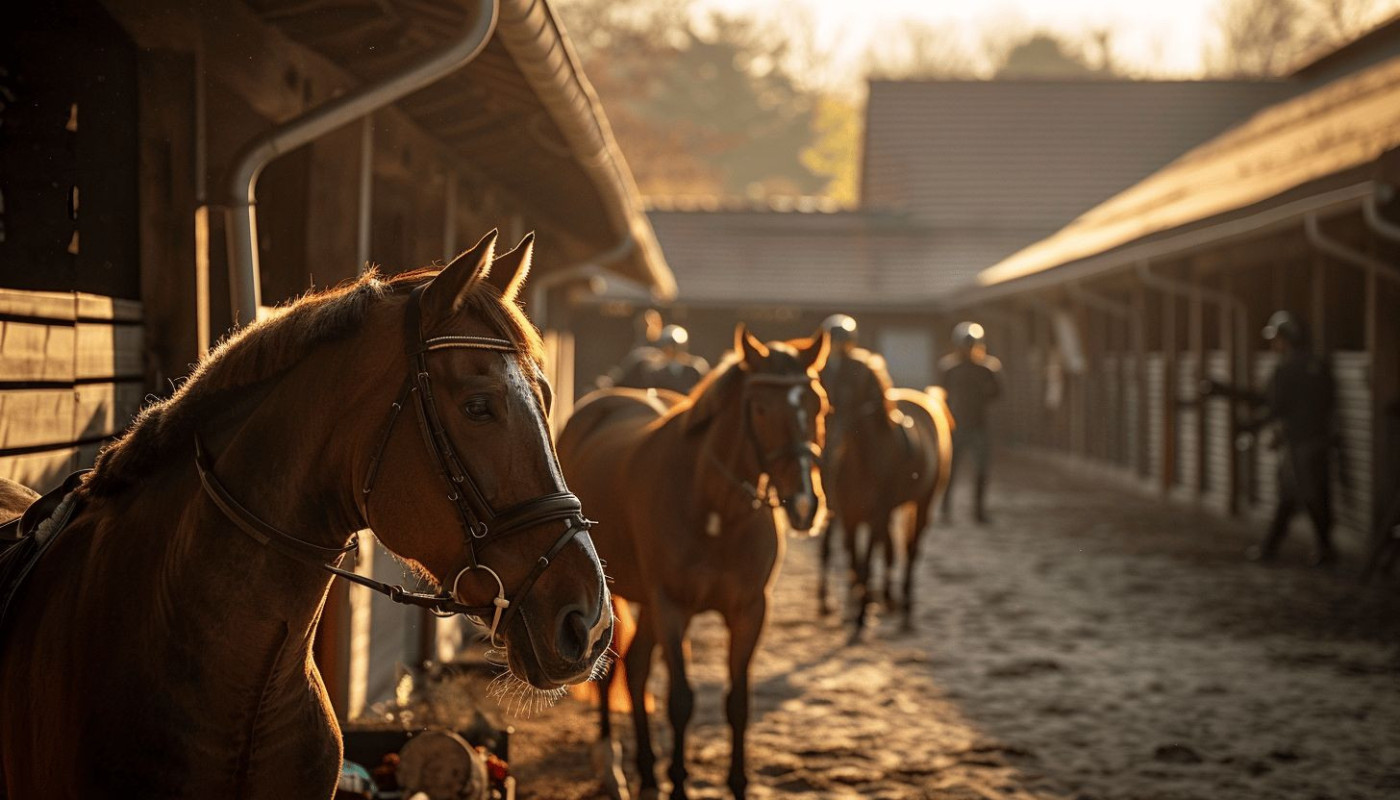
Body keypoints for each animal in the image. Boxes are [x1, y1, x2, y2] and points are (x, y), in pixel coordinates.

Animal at [557, 324, 829, 800]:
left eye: (817, 404)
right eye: (760, 408)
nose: (803, 504)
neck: (714, 507)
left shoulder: (749, 610)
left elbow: (737, 702)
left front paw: (737, 785)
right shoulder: (672, 607)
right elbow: (680, 700)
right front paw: (678, 784)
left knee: (637, 669)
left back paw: (648, 775)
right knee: (614, 673)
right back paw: (612, 764)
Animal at [814, 345, 953, 637]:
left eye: (849, 387)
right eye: (823, 384)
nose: (826, 452)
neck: (864, 458)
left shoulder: (877, 513)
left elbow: (867, 561)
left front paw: (861, 617)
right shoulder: (849, 515)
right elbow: (854, 560)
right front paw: (856, 608)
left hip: (923, 503)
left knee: (910, 550)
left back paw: (906, 611)